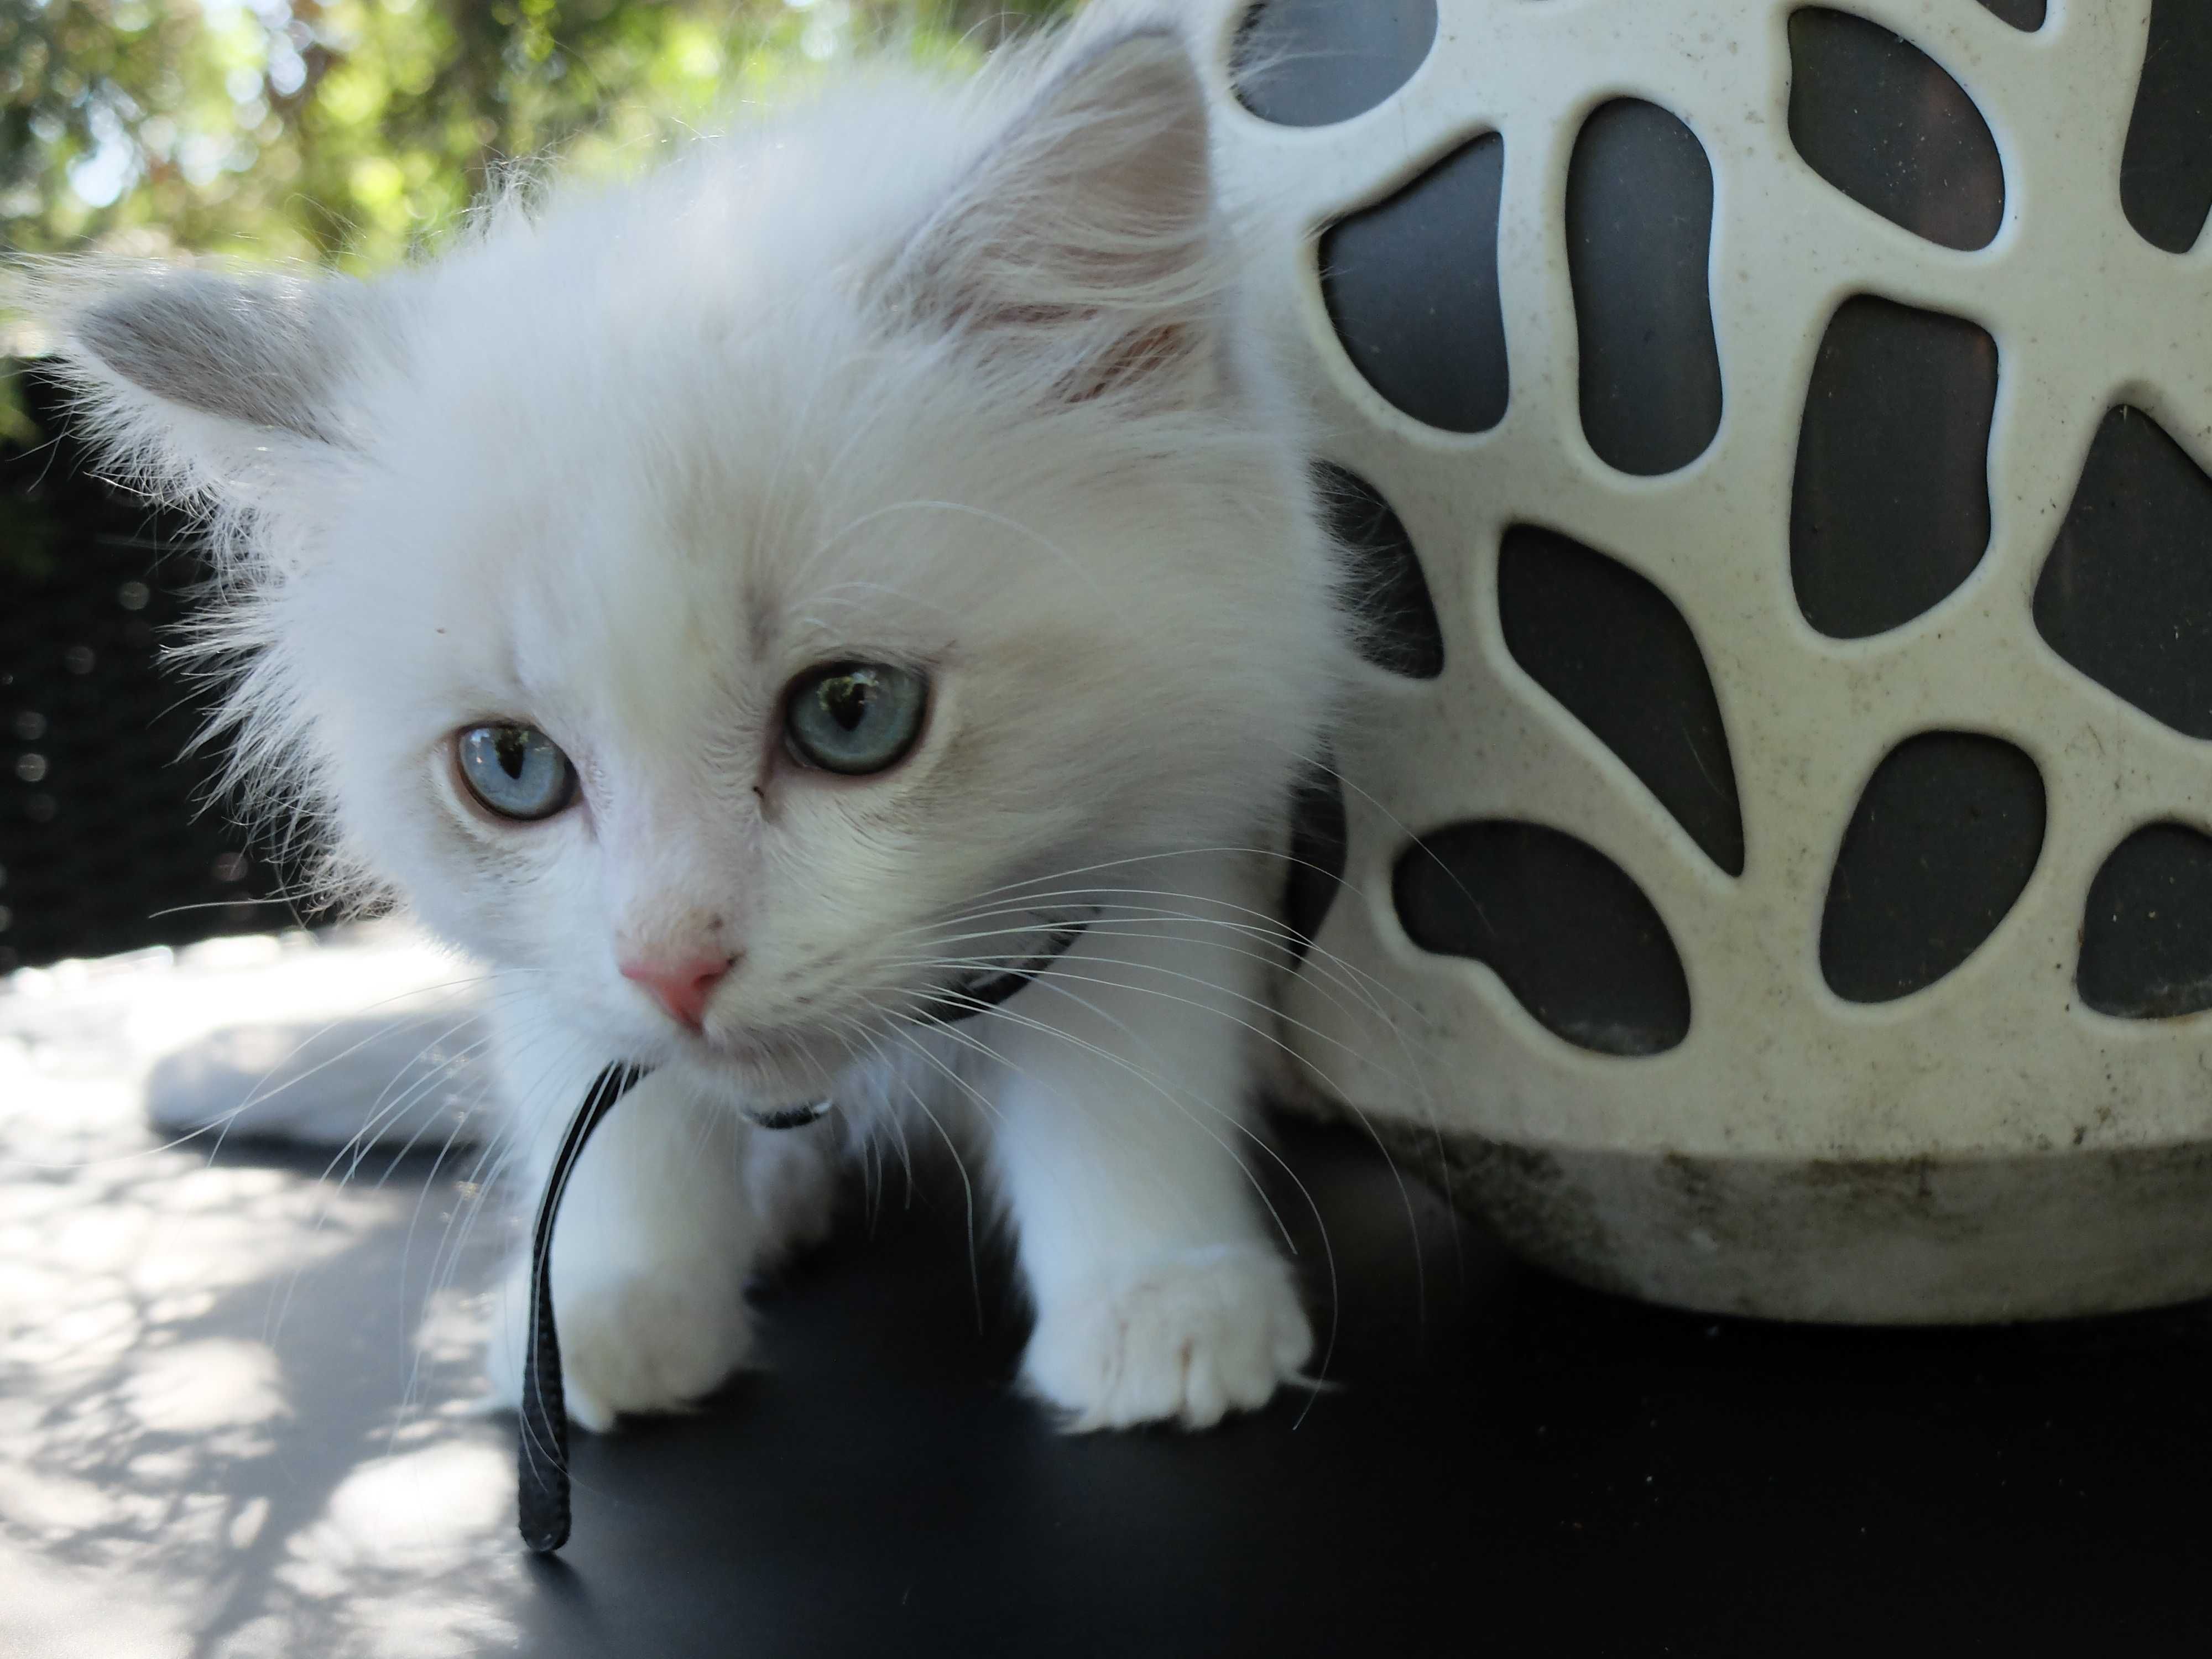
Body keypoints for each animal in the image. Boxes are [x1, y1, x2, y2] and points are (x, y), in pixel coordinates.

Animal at [39, 13, 1345, 1433]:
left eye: (852, 713)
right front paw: (609, 1301)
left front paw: (1160, 1294)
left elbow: (1117, 1092)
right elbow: (614, 1117)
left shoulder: (1156, 849)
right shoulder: (551, 969)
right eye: (510, 767)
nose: (674, 966)